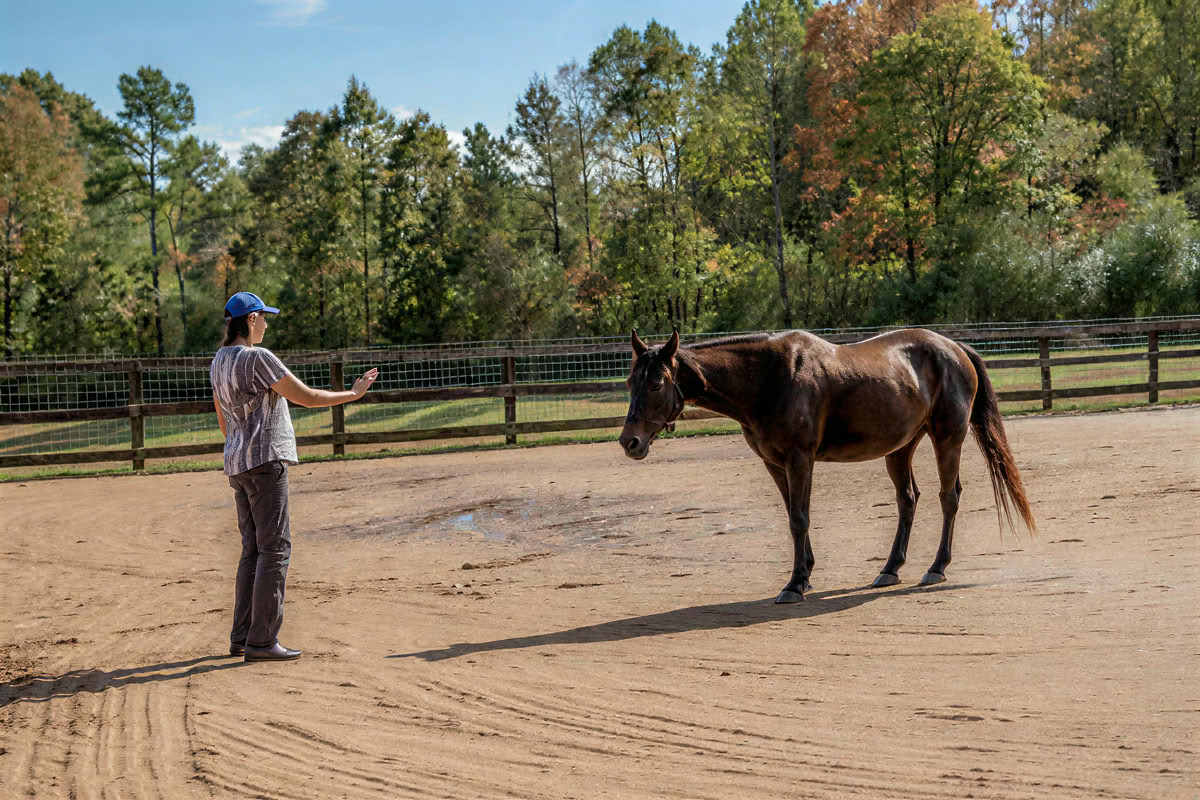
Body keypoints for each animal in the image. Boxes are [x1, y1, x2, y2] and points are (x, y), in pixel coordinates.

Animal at [617, 328, 1036, 603]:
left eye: (656, 384)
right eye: (628, 383)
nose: (629, 442)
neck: (769, 378)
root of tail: (953, 347)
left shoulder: (799, 459)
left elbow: (799, 519)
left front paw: (795, 584)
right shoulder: (775, 464)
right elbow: (793, 515)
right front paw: (804, 575)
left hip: (947, 438)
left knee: (948, 498)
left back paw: (936, 567)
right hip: (900, 449)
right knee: (908, 500)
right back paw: (890, 568)